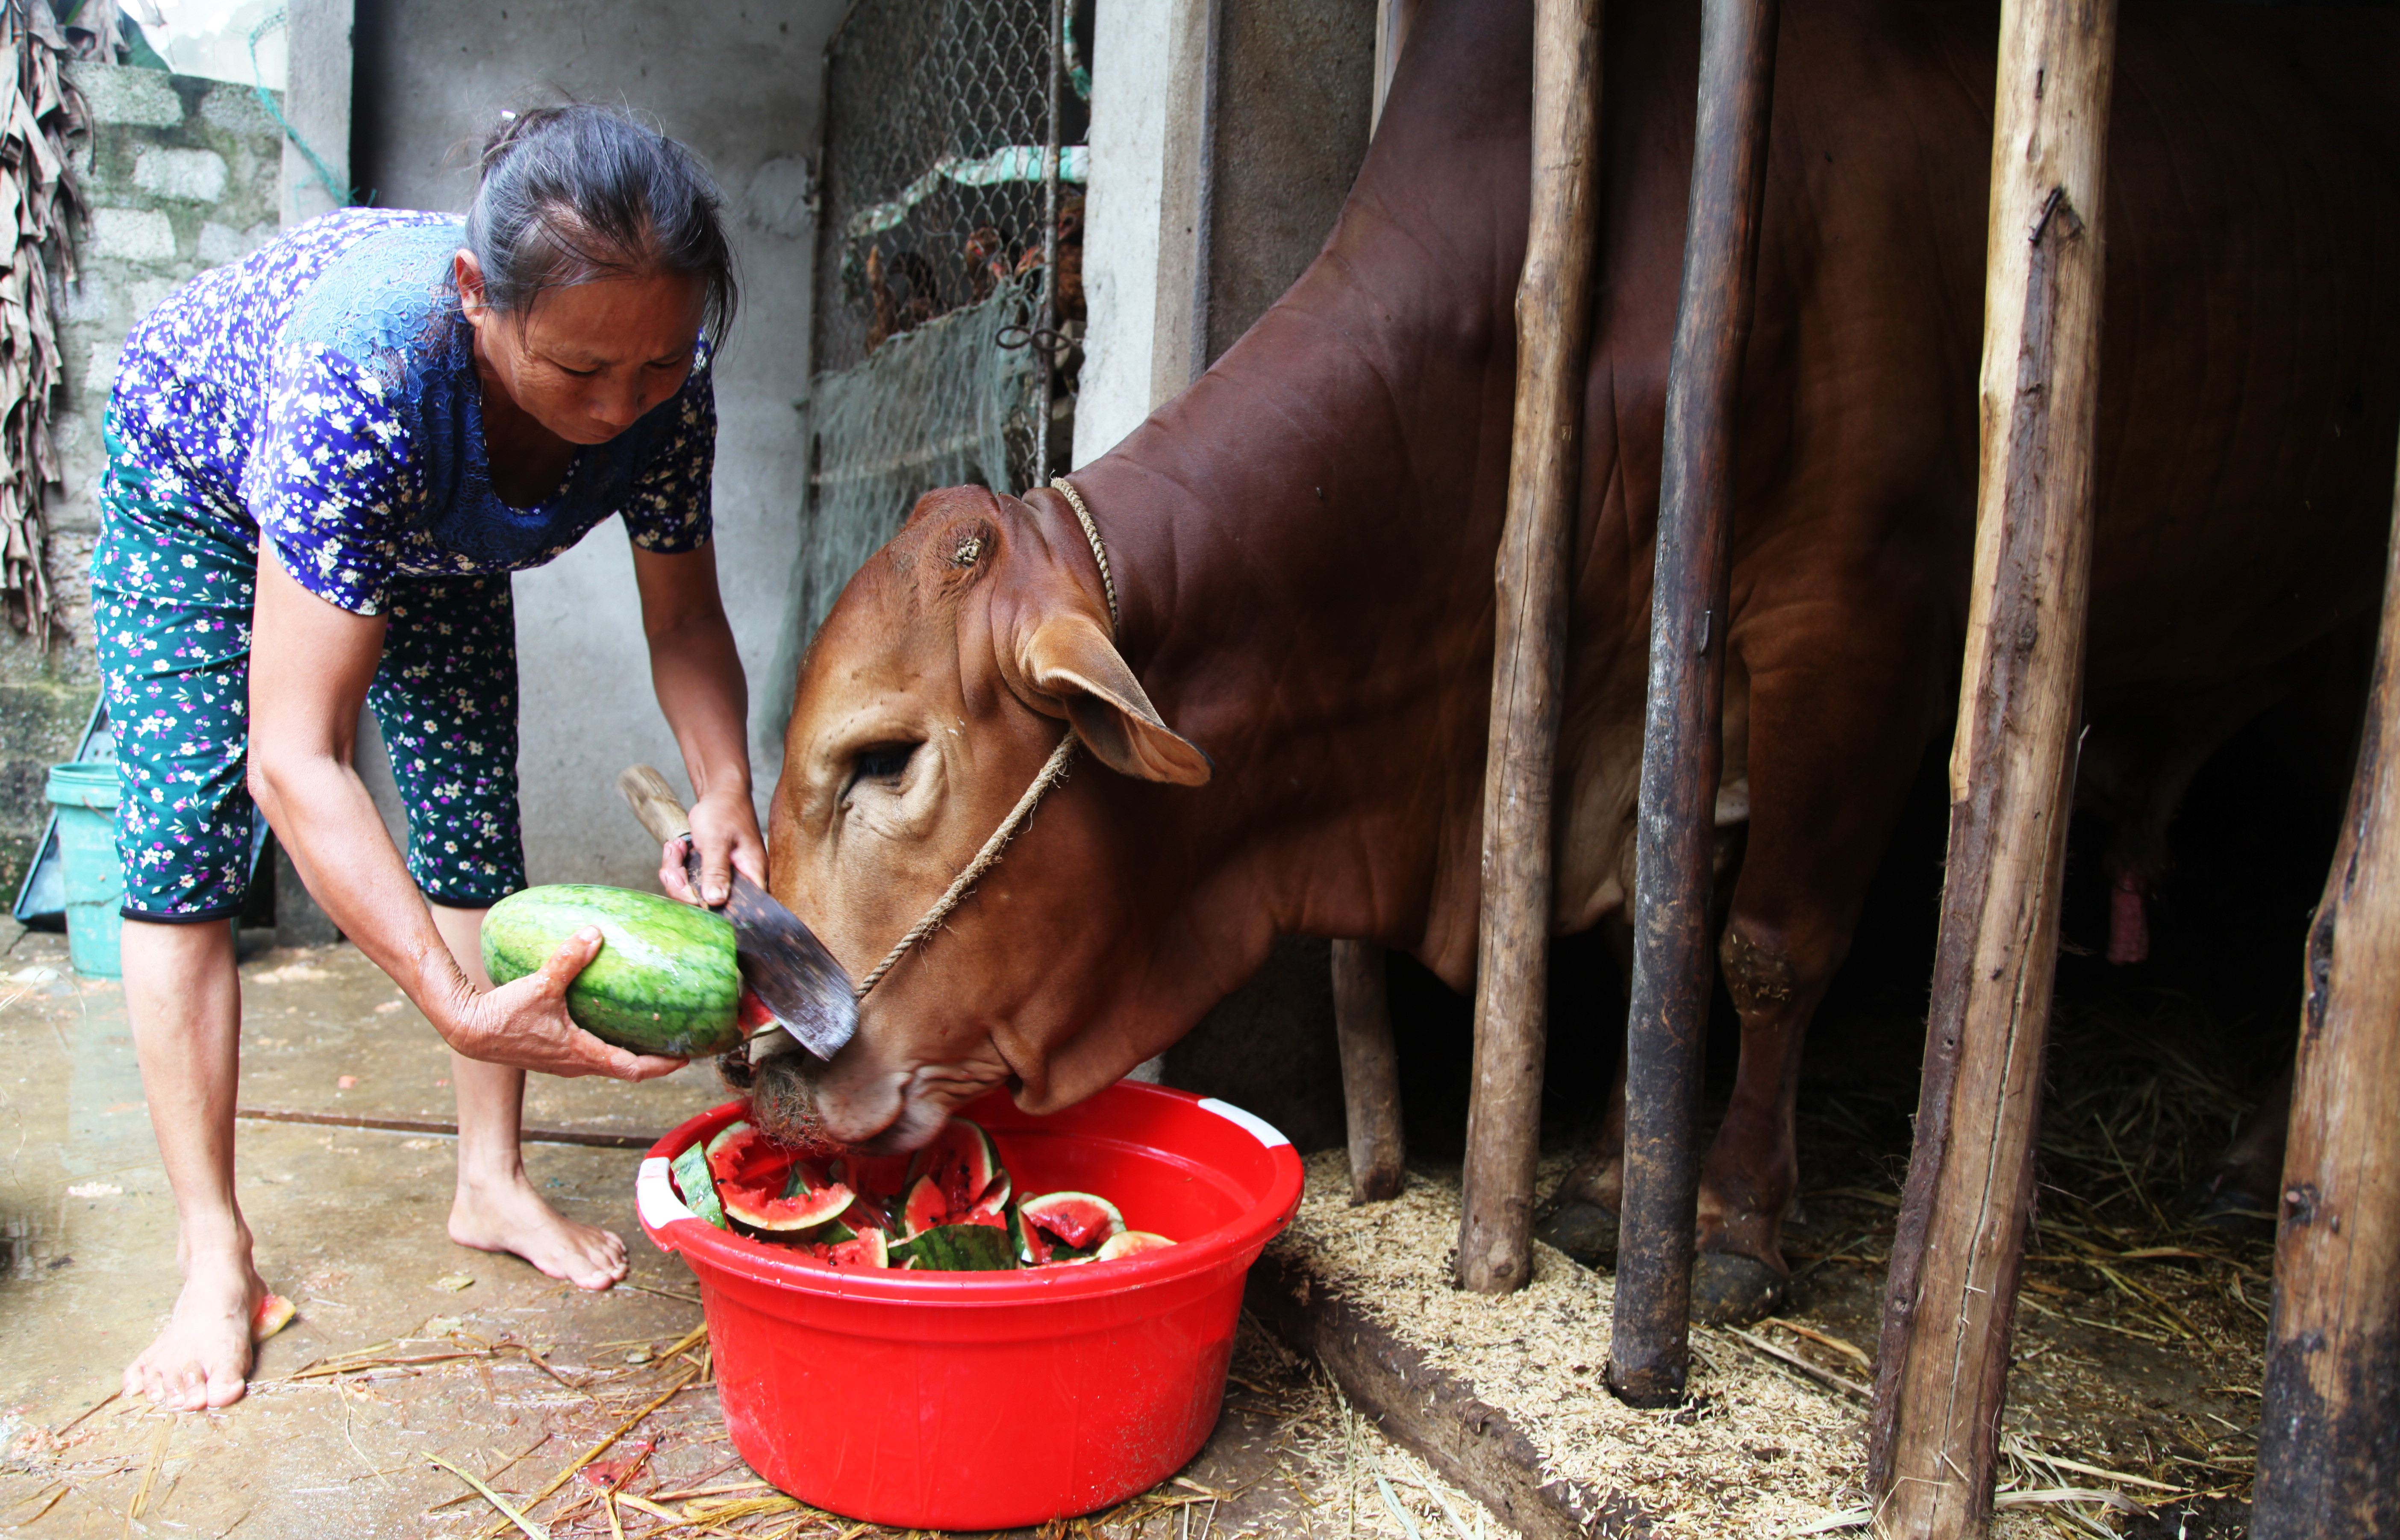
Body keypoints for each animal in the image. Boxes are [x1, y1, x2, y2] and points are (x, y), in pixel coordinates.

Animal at [749, 0, 2400, 1324]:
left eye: (885, 756)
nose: (763, 1060)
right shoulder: (1644, 709)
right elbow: (1645, 938)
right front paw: (1614, 1183)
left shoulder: (1860, 621)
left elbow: (1767, 946)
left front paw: (1728, 1224)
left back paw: (2259, 1160)